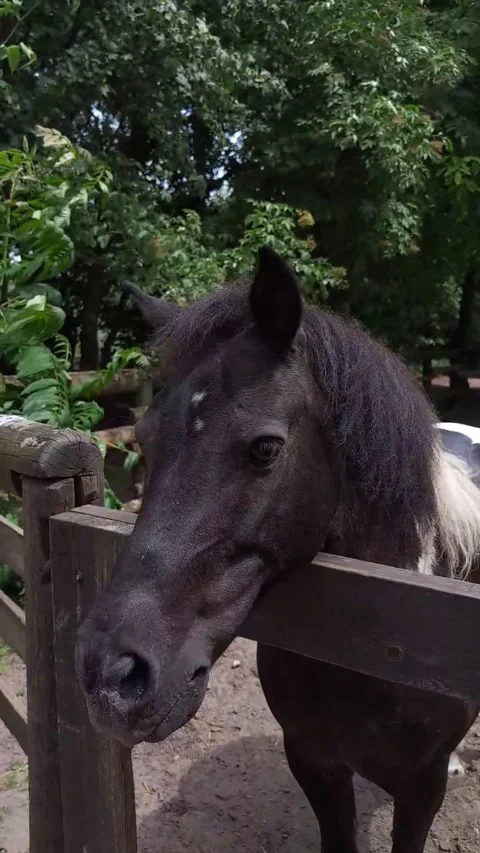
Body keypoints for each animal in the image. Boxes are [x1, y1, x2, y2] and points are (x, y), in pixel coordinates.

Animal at [76, 247, 480, 853]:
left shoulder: (420, 792)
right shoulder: (314, 762)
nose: (110, 676)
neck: (387, 637)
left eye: (266, 448)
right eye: (144, 441)